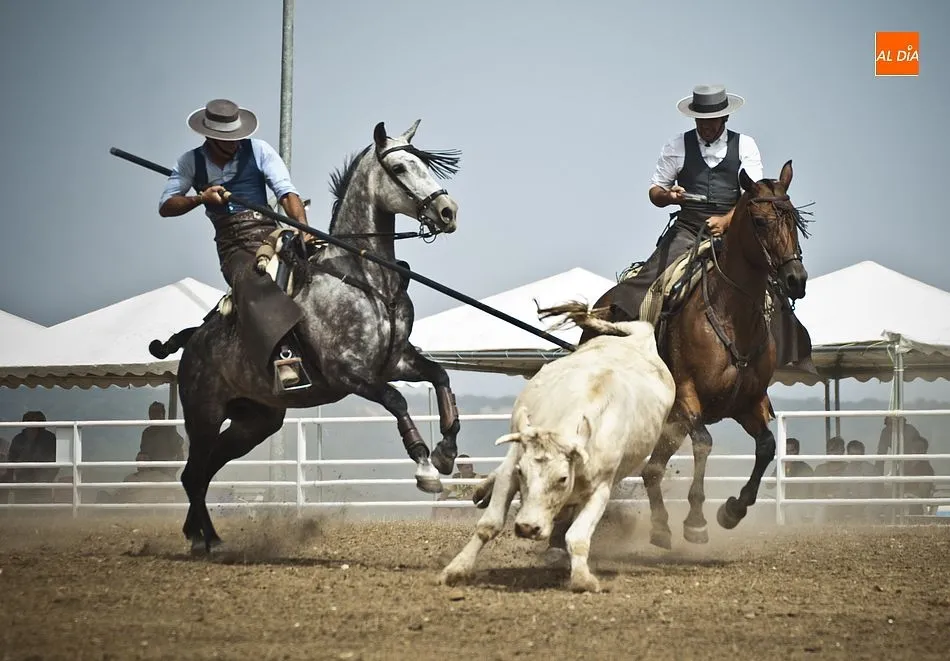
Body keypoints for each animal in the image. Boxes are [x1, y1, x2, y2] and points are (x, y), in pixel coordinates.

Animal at [157, 120, 466, 553]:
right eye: (400, 169)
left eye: (424, 164)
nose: (447, 211)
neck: (365, 278)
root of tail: (191, 341)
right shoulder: (348, 373)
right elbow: (396, 400)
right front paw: (424, 466)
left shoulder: (395, 361)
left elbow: (440, 376)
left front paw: (446, 451)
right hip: (204, 414)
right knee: (193, 473)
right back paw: (209, 540)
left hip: (256, 422)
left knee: (201, 472)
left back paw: (201, 536)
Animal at [439, 301, 676, 593]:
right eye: (522, 473)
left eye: (563, 478)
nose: (528, 528)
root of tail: (640, 343)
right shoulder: (513, 463)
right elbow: (489, 524)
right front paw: (456, 569)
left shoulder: (602, 488)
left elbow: (577, 537)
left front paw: (583, 579)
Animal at [575, 160, 811, 550]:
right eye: (760, 221)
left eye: (794, 218)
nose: (796, 279)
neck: (731, 316)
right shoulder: (687, 395)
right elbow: (703, 444)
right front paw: (697, 520)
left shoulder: (748, 402)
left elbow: (766, 446)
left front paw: (733, 510)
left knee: (652, 469)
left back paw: (659, 527)